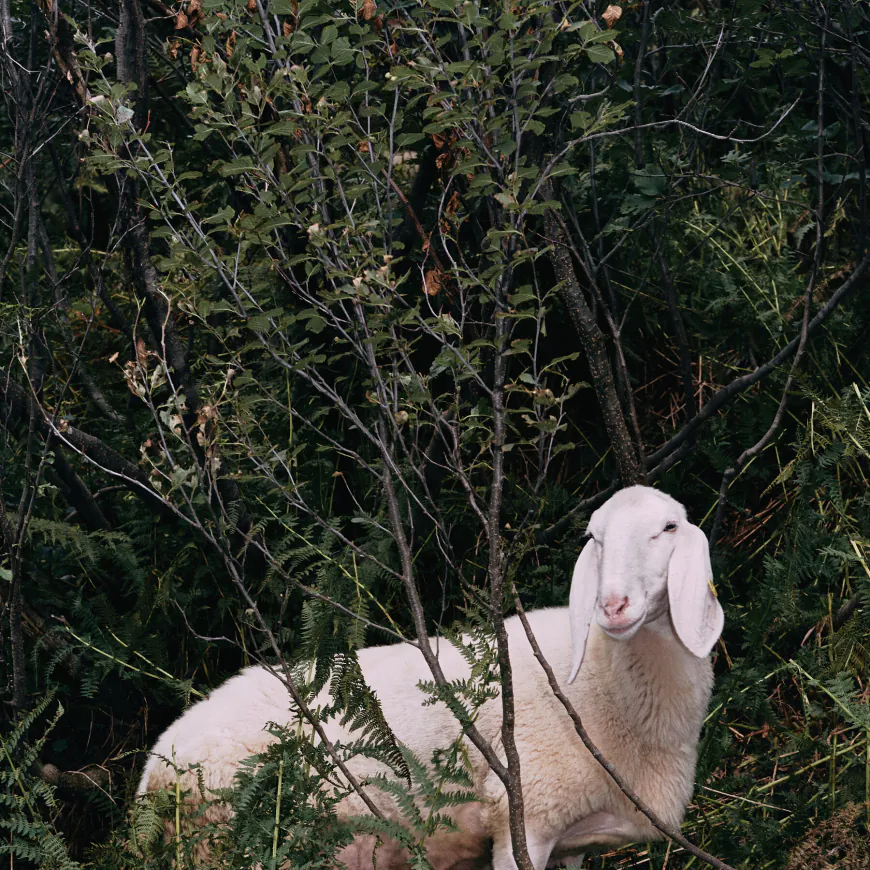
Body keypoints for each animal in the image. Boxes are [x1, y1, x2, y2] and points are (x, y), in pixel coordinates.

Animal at [138, 488, 724, 868]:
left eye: (669, 528)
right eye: (594, 537)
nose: (612, 605)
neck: (605, 689)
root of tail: (154, 766)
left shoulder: (572, 841)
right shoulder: (523, 821)